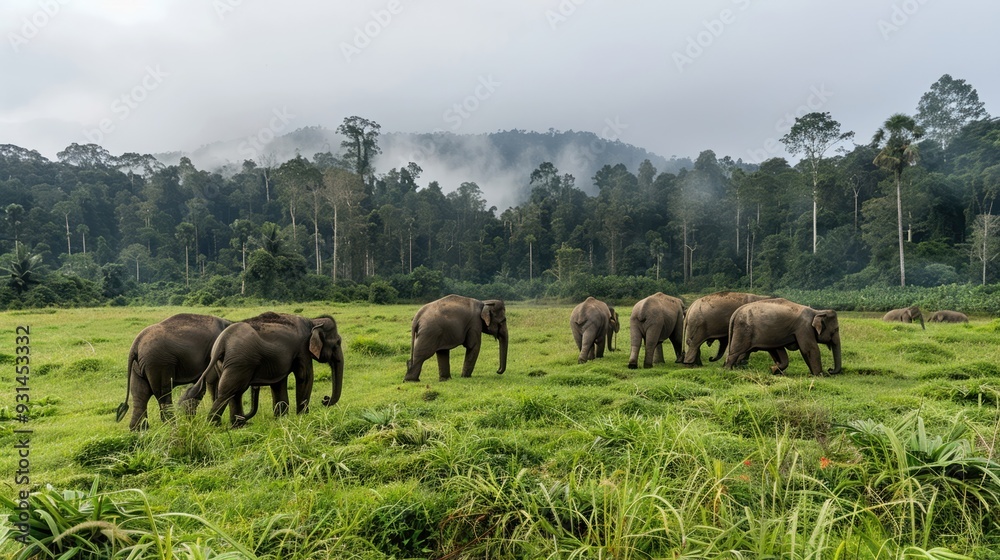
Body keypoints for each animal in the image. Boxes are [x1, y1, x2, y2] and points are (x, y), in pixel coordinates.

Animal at [115, 313, 262, 431]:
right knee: (163, 393)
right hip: (158, 362)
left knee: (140, 394)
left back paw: (139, 430)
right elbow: (212, 382)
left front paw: (191, 419)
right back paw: (172, 426)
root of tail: (136, 344)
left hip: (140, 365)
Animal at [179, 312, 344, 427]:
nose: (325, 400)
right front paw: (303, 417)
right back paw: (215, 425)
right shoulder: (302, 349)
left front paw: (281, 419)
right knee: (228, 391)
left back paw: (238, 425)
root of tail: (221, 342)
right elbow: (305, 376)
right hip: (240, 362)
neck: (313, 321)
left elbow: (278, 384)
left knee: (234, 393)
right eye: (338, 342)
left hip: (226, 363)